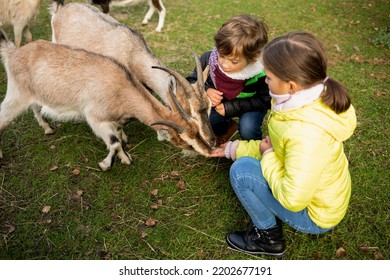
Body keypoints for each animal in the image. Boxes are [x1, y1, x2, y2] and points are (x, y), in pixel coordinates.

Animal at [0, 30, 213, 171]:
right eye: (186, 142)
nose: (208, 148)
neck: (122, 87)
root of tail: (13, 53)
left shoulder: (114, 119)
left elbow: (118, 136)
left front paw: (125, 157)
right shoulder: (95, 118)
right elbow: (114, 142)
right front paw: (107, 164)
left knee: (36, 107)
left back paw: (47, 128)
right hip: (16, 96)